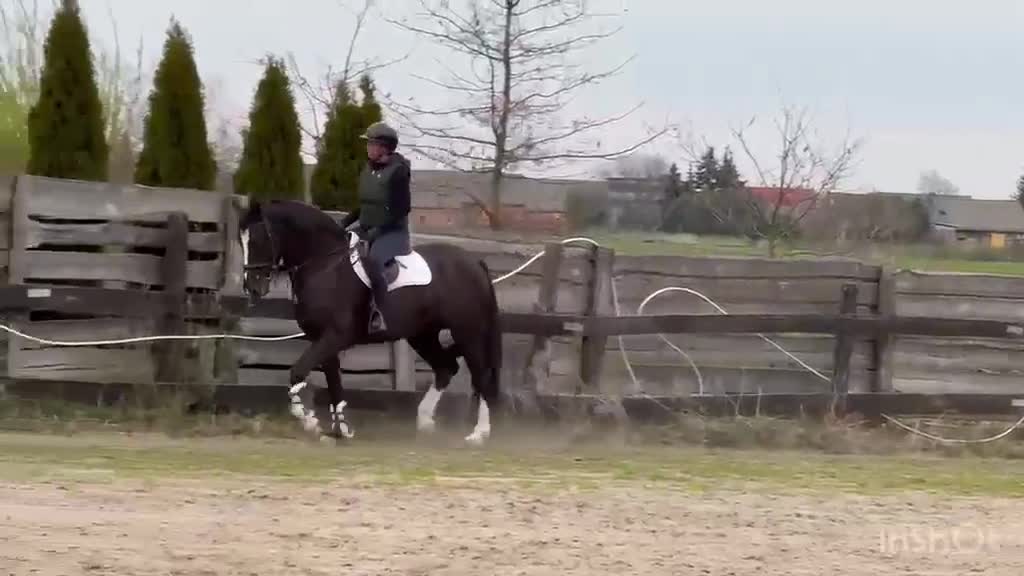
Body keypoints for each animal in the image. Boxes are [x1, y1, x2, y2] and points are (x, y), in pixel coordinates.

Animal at [239, 199, 502, 445]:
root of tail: (474, 262)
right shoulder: (323, 340)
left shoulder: (335, 336)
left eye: (258, 239)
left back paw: (478, 434)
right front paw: (342, 430)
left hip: (467, 332)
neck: (325, 265)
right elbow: (334, 383)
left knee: (480, 376)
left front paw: (310, 422)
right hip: (422, 335)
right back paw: (425, 422)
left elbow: (298, 372)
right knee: (446, 368)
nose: (252, 287)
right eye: (240, 242)